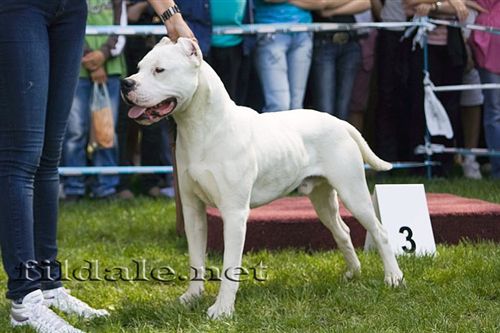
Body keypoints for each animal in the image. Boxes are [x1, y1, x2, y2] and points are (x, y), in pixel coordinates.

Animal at [122, 37, 406, 320]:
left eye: (159, 70)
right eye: (138, 67)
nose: (126, 83)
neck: (202, 128)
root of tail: (339, 122)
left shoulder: (234, 214)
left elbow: (230, 265)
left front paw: (222, 309)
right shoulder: (193, 209)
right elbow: (195, 259)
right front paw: (192, 297)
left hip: (353, 193)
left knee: (379, 231)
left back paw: (393, 278)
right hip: (323, 199)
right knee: (343, 231)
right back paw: (353, 273)